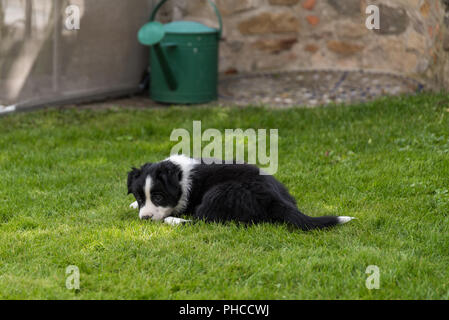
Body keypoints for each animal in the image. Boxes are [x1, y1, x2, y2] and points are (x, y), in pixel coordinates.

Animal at [126, 155, 354, 230]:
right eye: (140, 197)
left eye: (158, 197)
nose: (144, 218)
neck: (180, 177)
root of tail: (276, 199)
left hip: (219, 193)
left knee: (206, 220)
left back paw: (173, 221)